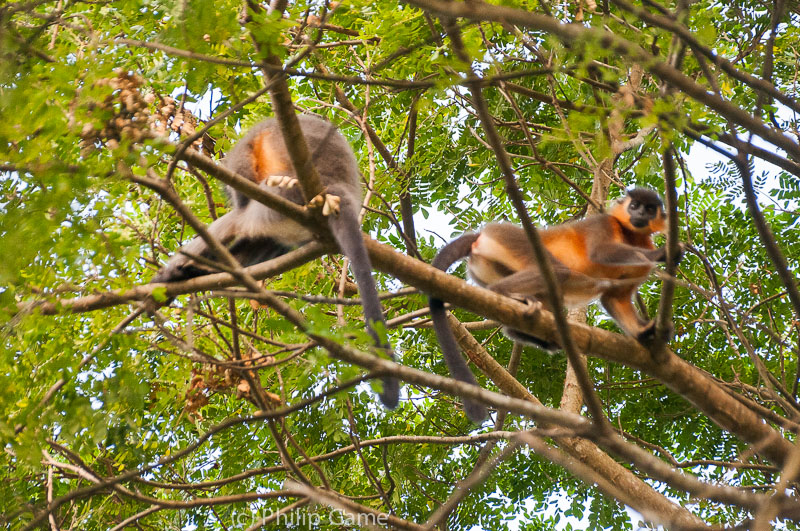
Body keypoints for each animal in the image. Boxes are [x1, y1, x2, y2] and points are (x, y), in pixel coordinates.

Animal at [428, 189, 680, 422]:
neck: (631, 236)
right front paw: (663, 253)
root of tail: (480, 234)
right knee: (557, 272)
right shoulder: (604, 223)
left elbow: (613, 298)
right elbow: (601, 253)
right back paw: (504, 293)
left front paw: (645, 332)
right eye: (634, 205)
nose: (640, 214)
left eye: (650, 209)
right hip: (514, 241)